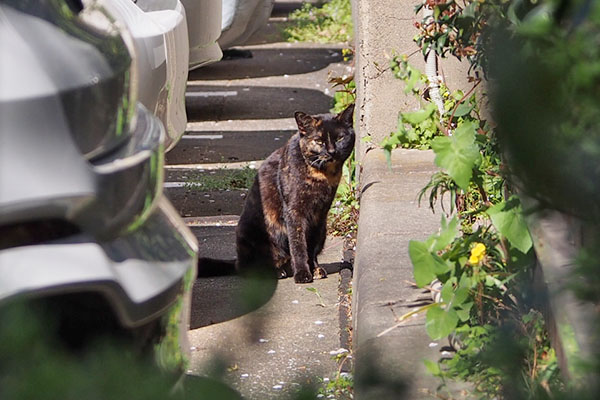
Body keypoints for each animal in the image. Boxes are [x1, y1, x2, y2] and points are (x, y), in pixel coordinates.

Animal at [199, 104, 354, 282]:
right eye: (319, 141)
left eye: (340, 138)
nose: (331, 151)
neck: (322, 175)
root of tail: (238, 261)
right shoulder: (294, 211)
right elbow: (298, 245)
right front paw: (302, 274)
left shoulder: (320, 214)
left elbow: (311, 246)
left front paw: (314, 269)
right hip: (249, 231)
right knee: (252, 266)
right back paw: (275, 272)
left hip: (323, 231)